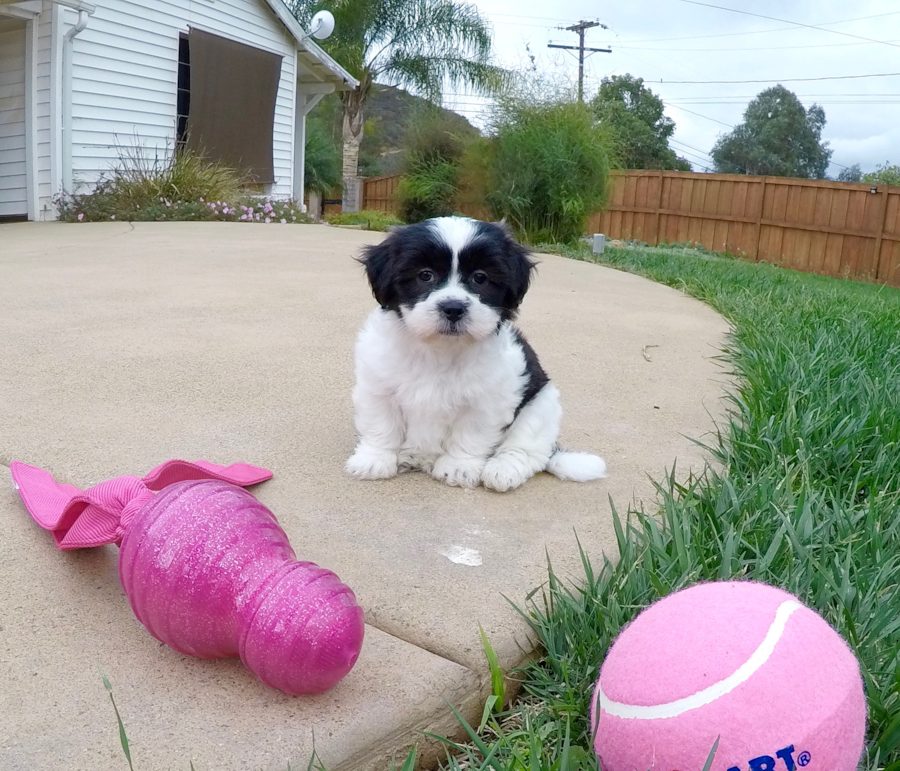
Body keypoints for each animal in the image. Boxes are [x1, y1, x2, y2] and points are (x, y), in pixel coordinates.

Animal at [344, 216, 604, 494]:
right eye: (425, 275)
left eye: (480, 277)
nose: (453, 308)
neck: (440, 350)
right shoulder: (378, 386)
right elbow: (382, 425)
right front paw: (374, 459)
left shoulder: (488, 401)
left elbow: (470, 434)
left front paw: (459, 466)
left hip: (542, 405)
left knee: (527, 449)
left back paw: (503, 469)